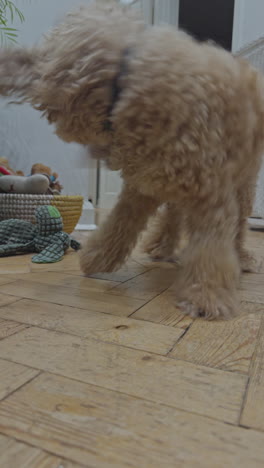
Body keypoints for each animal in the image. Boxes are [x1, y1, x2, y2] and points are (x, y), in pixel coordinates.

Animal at [0, 0, 264, 318]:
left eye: (40, 57)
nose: (9, 62)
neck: (125, 81)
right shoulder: (141, 187)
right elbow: (118, 226)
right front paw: (97, 257)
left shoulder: (211, 196)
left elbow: (210, 248)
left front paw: (206, 296)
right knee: (174, 214)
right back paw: (162, 245)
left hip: (243, 181)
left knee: (238, 226)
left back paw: (242, 257)